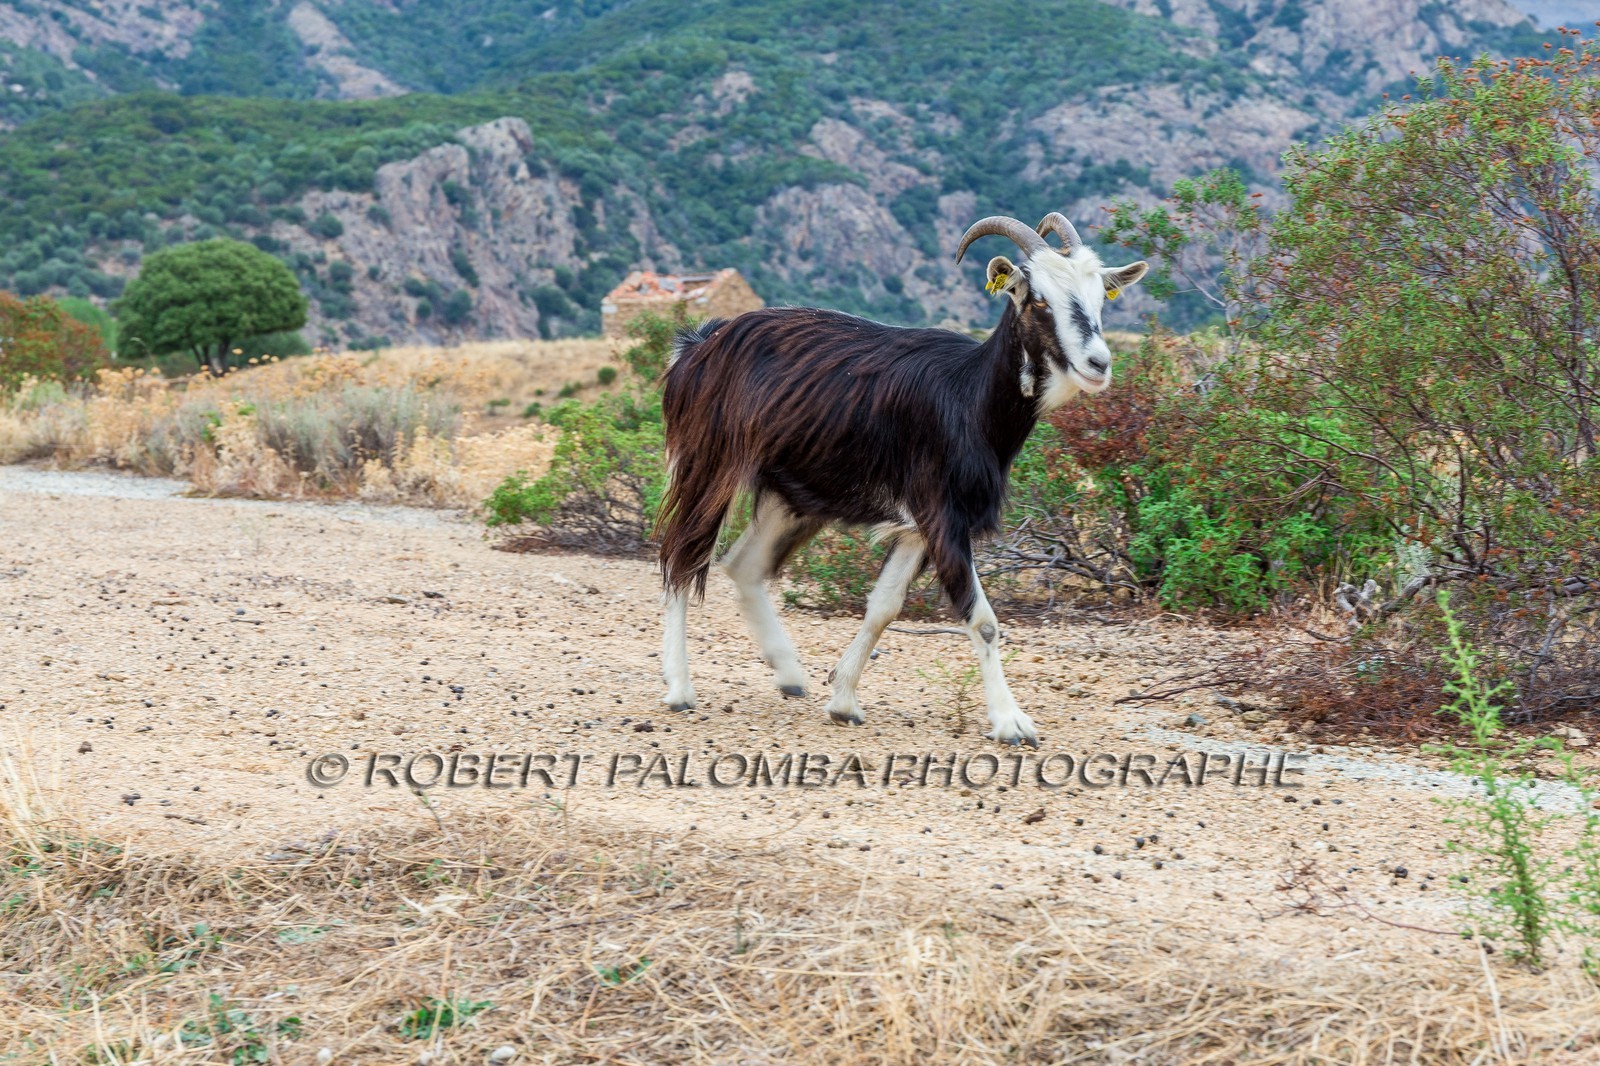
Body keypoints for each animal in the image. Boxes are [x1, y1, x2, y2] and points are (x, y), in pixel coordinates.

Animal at [655, 213, 1147, 745]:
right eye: (1037, 299)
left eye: (1101, 298)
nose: (1099, 363)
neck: (969, 398)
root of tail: (698, 346)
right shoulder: (941, 514)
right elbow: (983, 620)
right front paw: (1010, 721)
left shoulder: (918, 528)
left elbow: (884, 606)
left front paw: (843, 700)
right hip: (708, 464)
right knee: (682, 554)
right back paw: (679, 688)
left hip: (794, 494)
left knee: (743, 565)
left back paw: (788, 672)